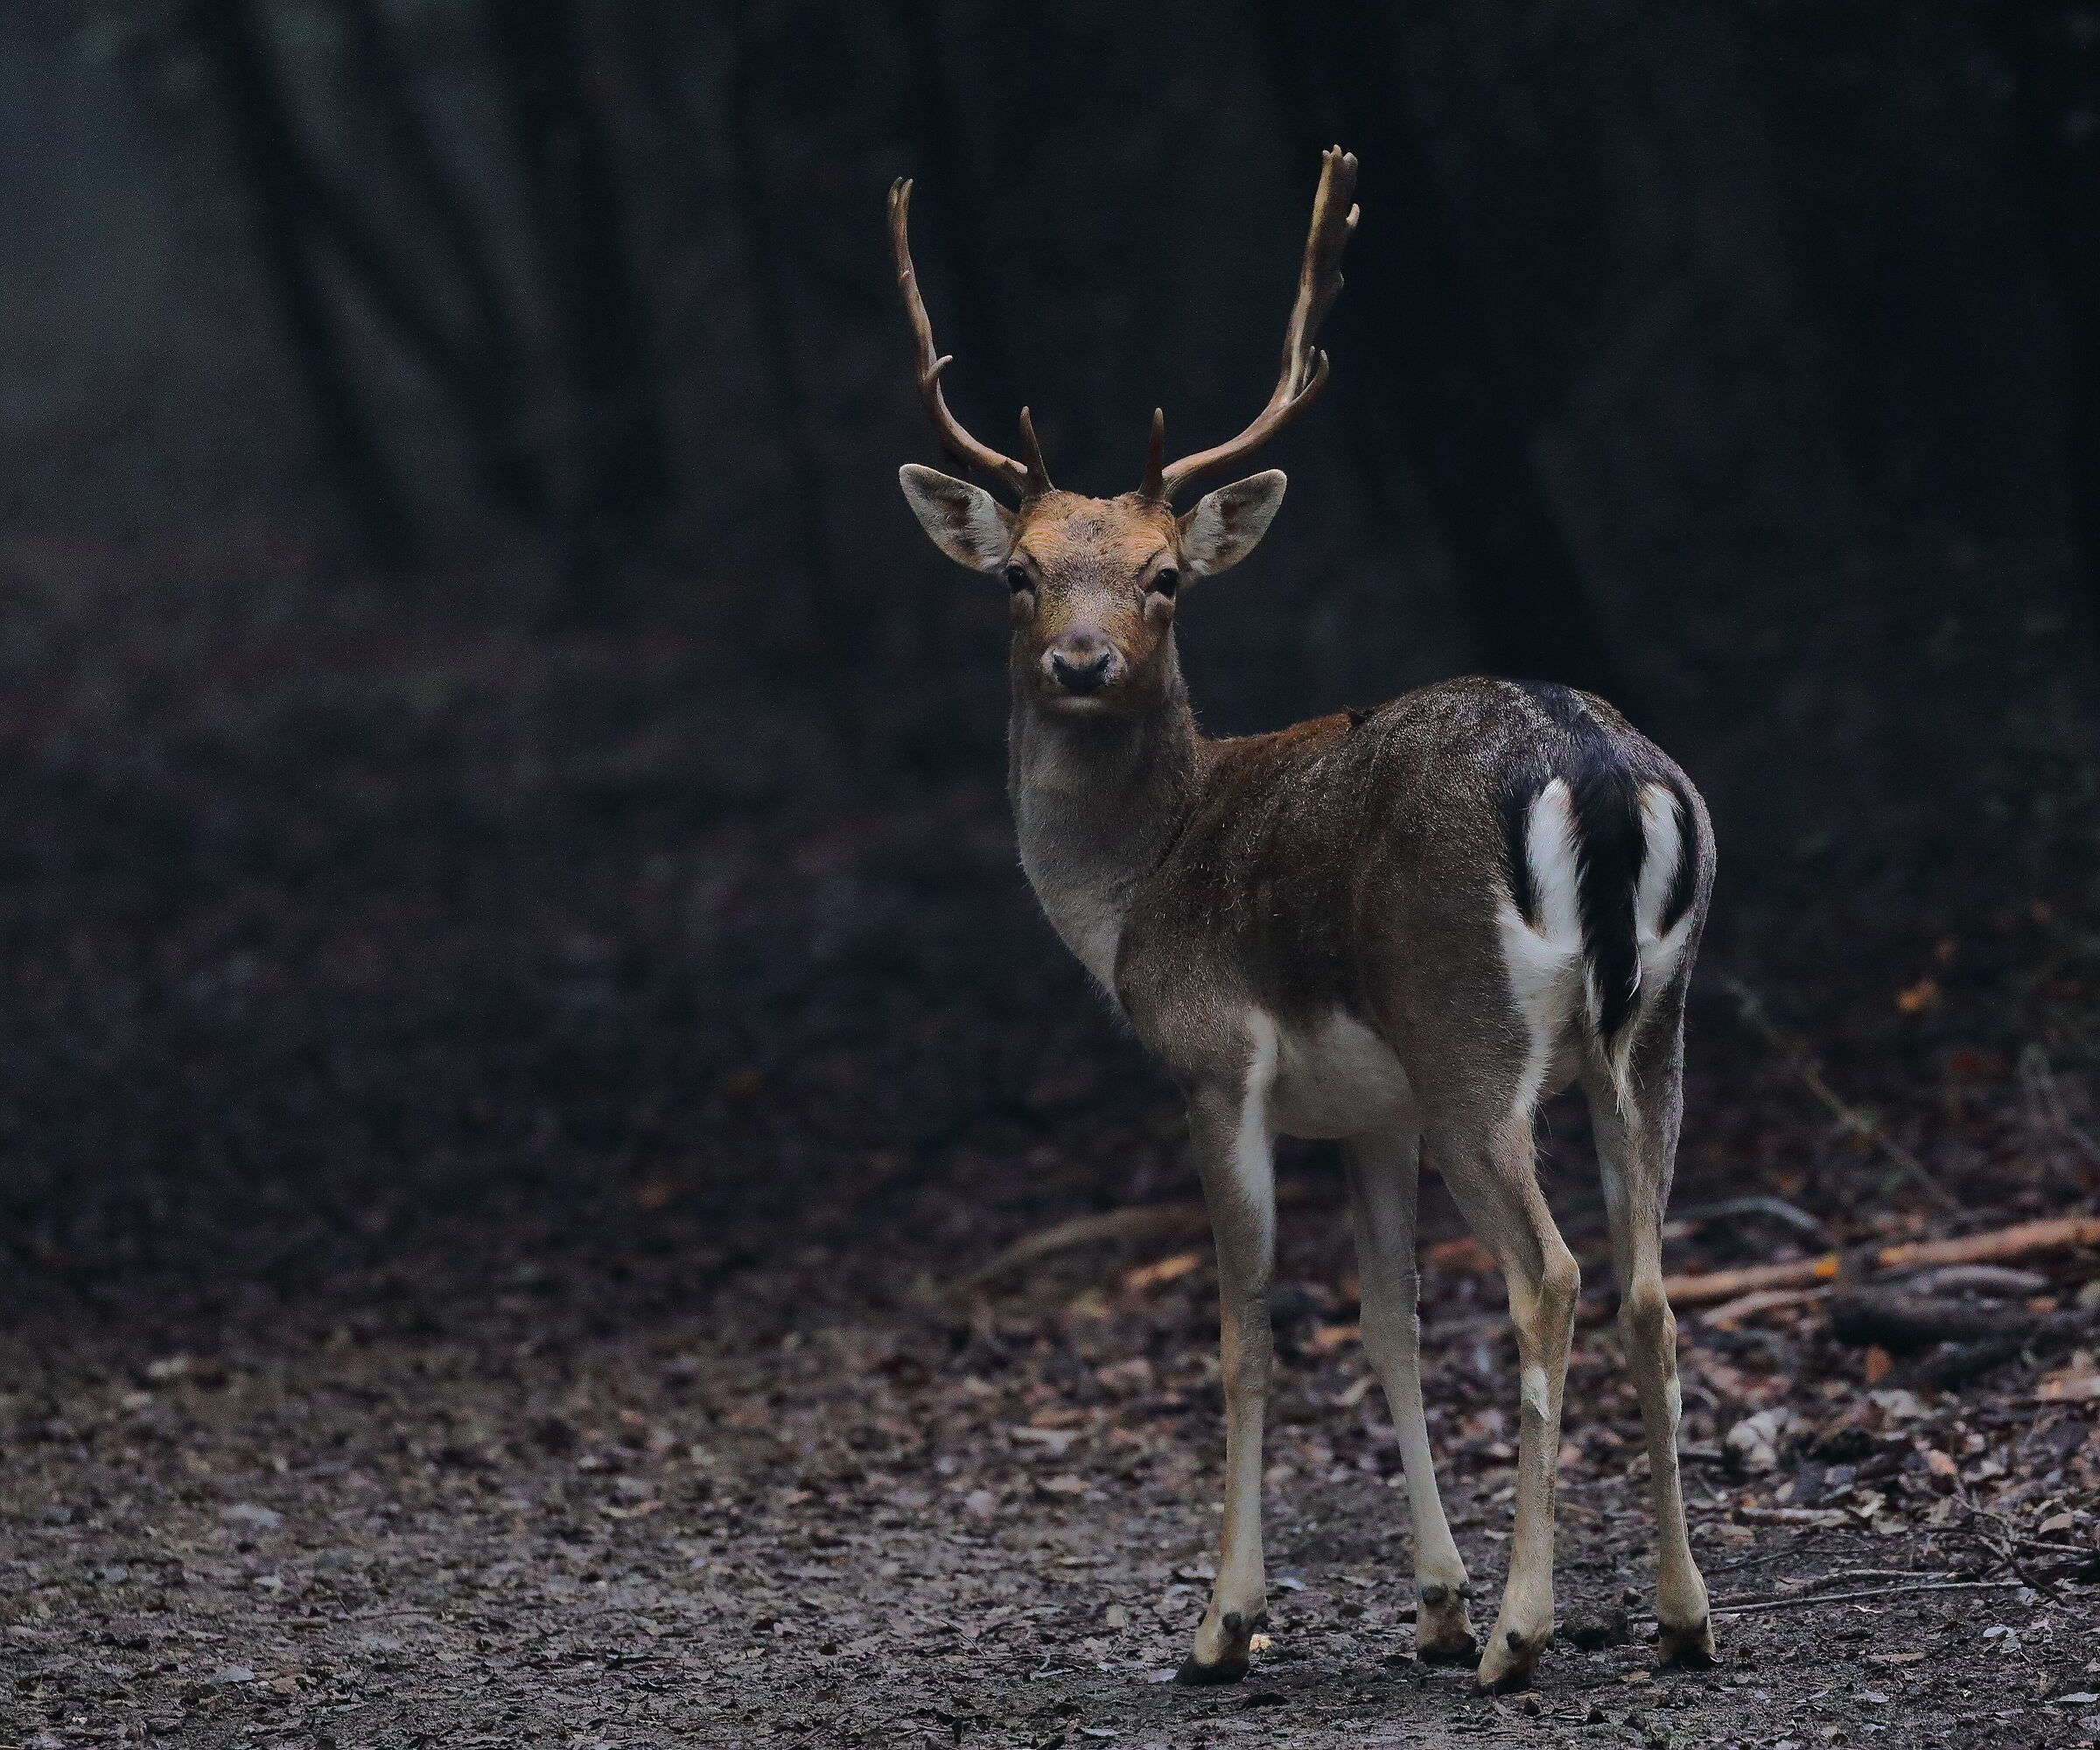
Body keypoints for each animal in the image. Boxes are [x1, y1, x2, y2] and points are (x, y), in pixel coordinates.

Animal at [888, 148, 1717, 1695]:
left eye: (1164, 577)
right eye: (1020, 572)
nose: (1078, 660)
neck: (1133, 891)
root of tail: (1594, 766)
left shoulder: (1217, 1060)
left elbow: (1247, 1333)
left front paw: (1225, 1621)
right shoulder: (1368, 1114)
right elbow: (1387, 1325)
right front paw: (1430, 1602)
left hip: (1471, 1035)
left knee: (1552, 1275)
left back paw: (1524, 1633)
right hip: (1654, 1030)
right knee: (1649, 1282)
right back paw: (1684, 1617)